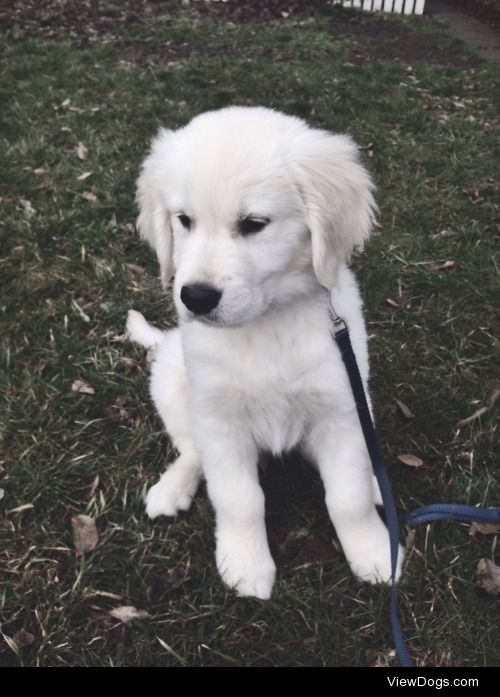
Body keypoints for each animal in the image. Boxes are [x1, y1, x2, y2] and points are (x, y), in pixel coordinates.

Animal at [126, 104, 402, 600]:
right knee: (191, 451)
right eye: (184, 220)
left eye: (253, 224)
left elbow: (346, 498)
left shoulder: (341, 408)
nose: (195, 297)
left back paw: (375, 483)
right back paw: (171, 489)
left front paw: (373, 551)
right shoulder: (220, 421)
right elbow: (239, 499)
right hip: (171, 381)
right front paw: (245, 563)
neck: (264, 324)